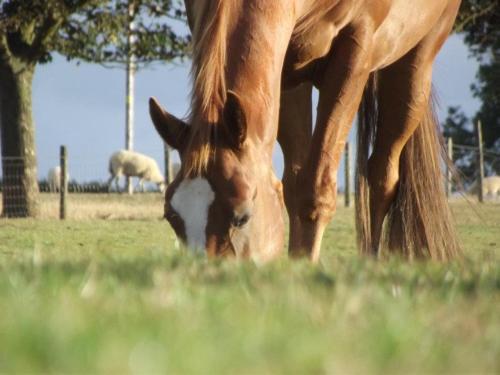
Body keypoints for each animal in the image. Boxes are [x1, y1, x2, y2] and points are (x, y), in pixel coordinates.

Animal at [148, 0, 460, 262]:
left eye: (242, 217)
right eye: (171, 216)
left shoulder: (356, 52)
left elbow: (316, 189)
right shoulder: (284, 69)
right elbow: (295, 186)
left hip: (414, 64)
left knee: (383, 177)